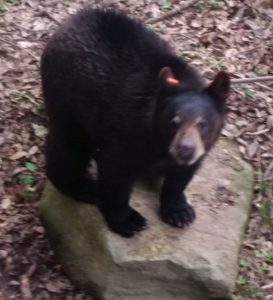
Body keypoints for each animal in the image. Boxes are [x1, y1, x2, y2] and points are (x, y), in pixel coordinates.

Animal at [39, 8, 227, 237]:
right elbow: (116, 171)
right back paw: (84, 187)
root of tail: (71, 20)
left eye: (203, 123)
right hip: (66, 99)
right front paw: (129, 220)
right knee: (68, 149)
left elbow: (181, 176)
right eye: (174, 121)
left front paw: (180, 212)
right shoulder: (128, 131)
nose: (186, 149)